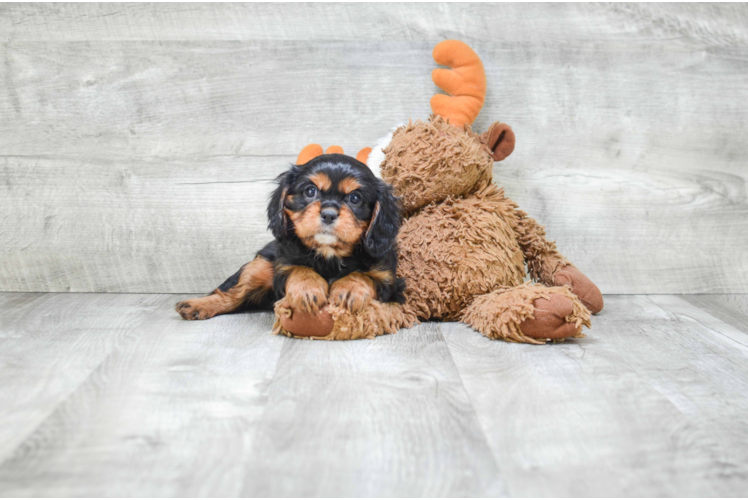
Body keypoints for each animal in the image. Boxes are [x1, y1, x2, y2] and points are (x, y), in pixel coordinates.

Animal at [176, 152, 406, 322]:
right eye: (310, 191)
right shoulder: (283, 265)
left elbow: (364, 276)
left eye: (355, 198)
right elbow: (299, 269)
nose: (328, 214)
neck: (328, 254)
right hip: (259, 266)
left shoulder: (387, 279)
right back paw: (197, 305)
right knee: (232, 293)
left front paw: (348, 289)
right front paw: (308, 289)